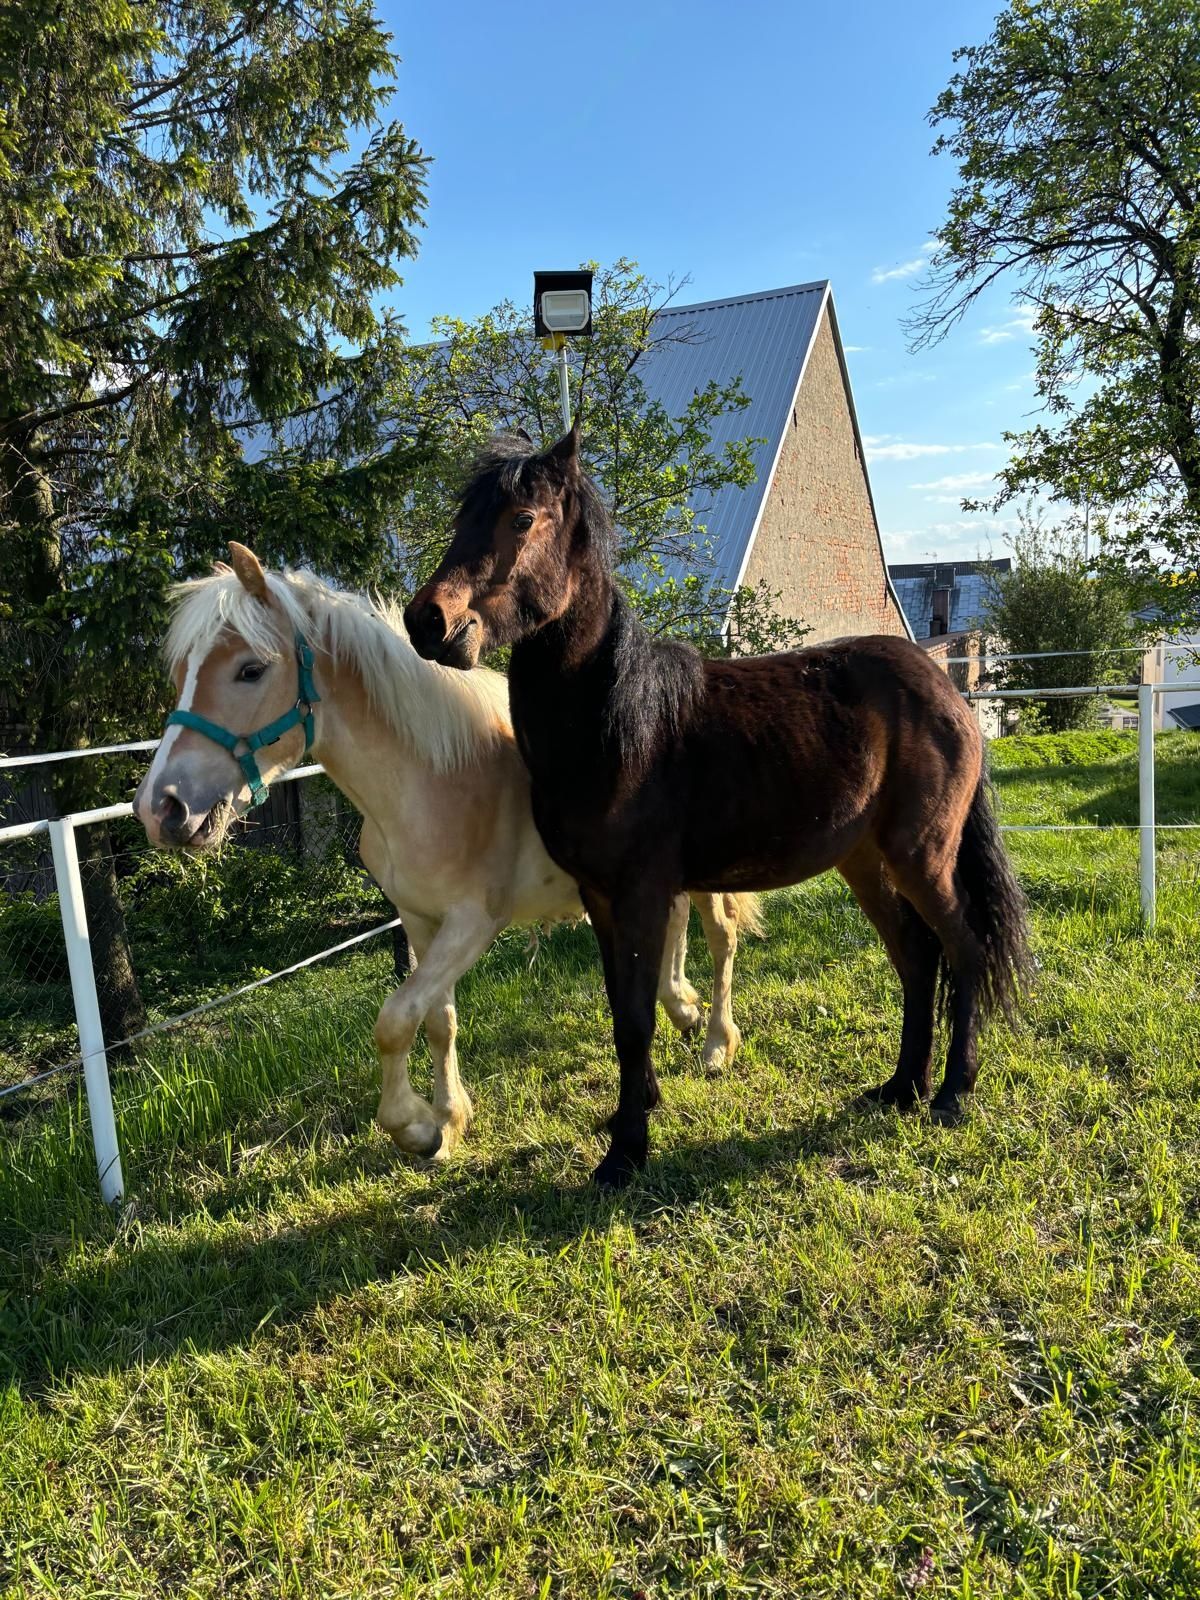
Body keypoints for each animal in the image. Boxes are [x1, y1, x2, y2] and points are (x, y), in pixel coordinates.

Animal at [136, 544, 764, 1158]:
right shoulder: (419, 919)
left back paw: (716, 1043)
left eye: (250, 669)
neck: (433, 777)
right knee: (675, 923)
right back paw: (682, 1007)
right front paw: (449, 1117)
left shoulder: (473, 922)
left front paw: (414, 1127)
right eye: (180, 673)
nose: (160, 808)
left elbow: (395, 1019)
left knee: (720, 935)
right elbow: (437, 1018)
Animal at [406, 425, 1036, 1190]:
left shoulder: (643, 894)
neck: (617, 724)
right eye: (462, 518)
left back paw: (949, 1093)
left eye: (522, 520)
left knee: (963, 948)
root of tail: (949, 694)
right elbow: (621, 1011)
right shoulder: (601, 898)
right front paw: (635, 1111)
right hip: (865, 860)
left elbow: (638, 1018)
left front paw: (626, 1153)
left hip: (923, 858)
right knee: (916, 957)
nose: (428, 621)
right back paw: (899, 1088)